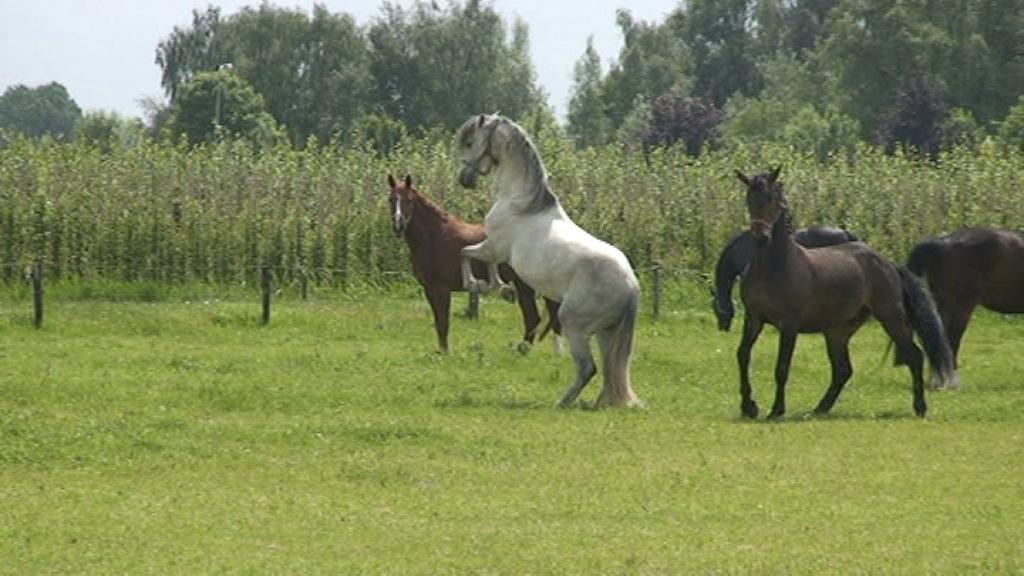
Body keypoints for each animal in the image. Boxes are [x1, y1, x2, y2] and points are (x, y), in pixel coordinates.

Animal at [387, 172, 561, 352]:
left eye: (409, 200)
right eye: (390, 199)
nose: (398, 225)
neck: (435, 237)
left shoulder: (441, 289)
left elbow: (443, 323)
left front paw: (446, 353)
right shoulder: (429, 289)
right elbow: (439, 324)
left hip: (525, 284)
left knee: (534, 317)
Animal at [733, 166, 954, 416]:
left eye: (771, 198)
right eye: (749, 198)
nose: (761, 236)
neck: (775, 265)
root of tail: (888, 264)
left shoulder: (789, 325)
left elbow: (782, 367)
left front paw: (776, 410)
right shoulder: (754, 318)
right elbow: (743, 355)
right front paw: (749, 406)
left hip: (891, 316)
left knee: (914, 356)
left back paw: (920, 406)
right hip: (837, 331)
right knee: (843, 370)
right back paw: (820, 408)